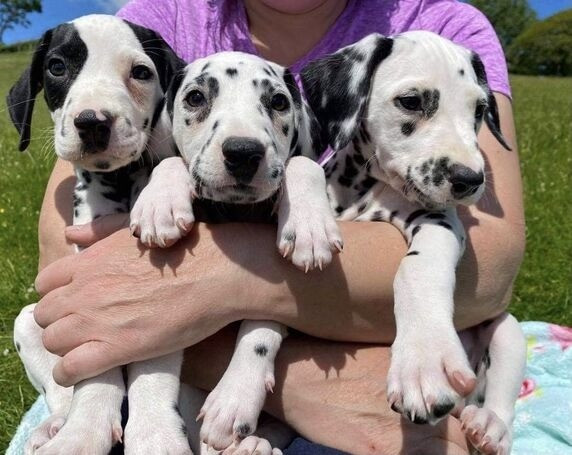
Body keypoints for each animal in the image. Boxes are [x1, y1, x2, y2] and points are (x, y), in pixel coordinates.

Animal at [8, 14, 194, 455]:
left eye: (141, 72)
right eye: (57, 66)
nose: (93, 122)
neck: (123, 180)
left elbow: (152, 373)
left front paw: (157, 439)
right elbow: (91, 374)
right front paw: (81, 434)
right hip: (29, 319)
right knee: (59, 388)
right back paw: (54, 427)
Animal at [130, 50, 340, 452]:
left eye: (278, 102)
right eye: (196, 97)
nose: (243, 152)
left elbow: (301, 162)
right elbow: (172, 160)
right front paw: (159, 203)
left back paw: (254, 444)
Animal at [302, 30, 524, 454]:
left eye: (478, 110)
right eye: (411, 101)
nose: (470, 179)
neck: (367, 189)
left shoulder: (438, 221)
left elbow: (419, 270)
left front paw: (423, 359)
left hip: (508, 331)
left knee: (503, 394)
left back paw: (489, 425)